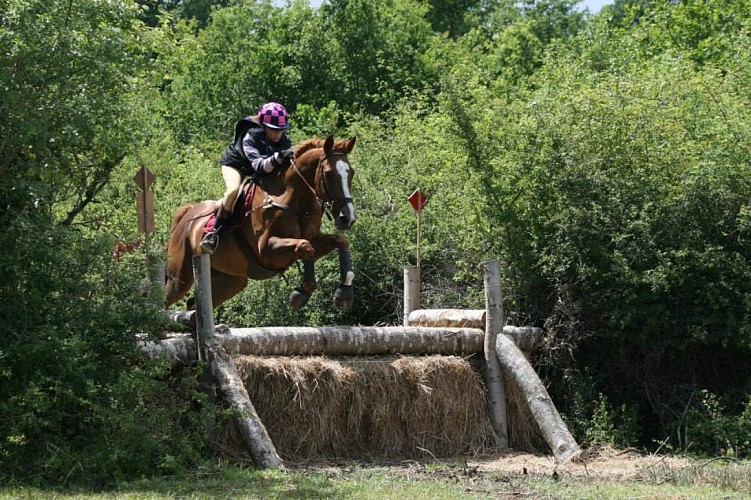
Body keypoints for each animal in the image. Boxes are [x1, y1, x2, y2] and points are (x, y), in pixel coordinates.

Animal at [163, 133, 356, 312]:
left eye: (351, 173)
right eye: (328, 174)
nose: (348, 218)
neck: (294, 200)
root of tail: (187, 215)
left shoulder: (313, 239)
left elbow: (340, 241)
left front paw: (344, 292)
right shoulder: (266, 251)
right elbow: (305, 246)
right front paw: (300, 294)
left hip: (230, 280)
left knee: (193, 305)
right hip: (179, 277)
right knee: (165, 299)